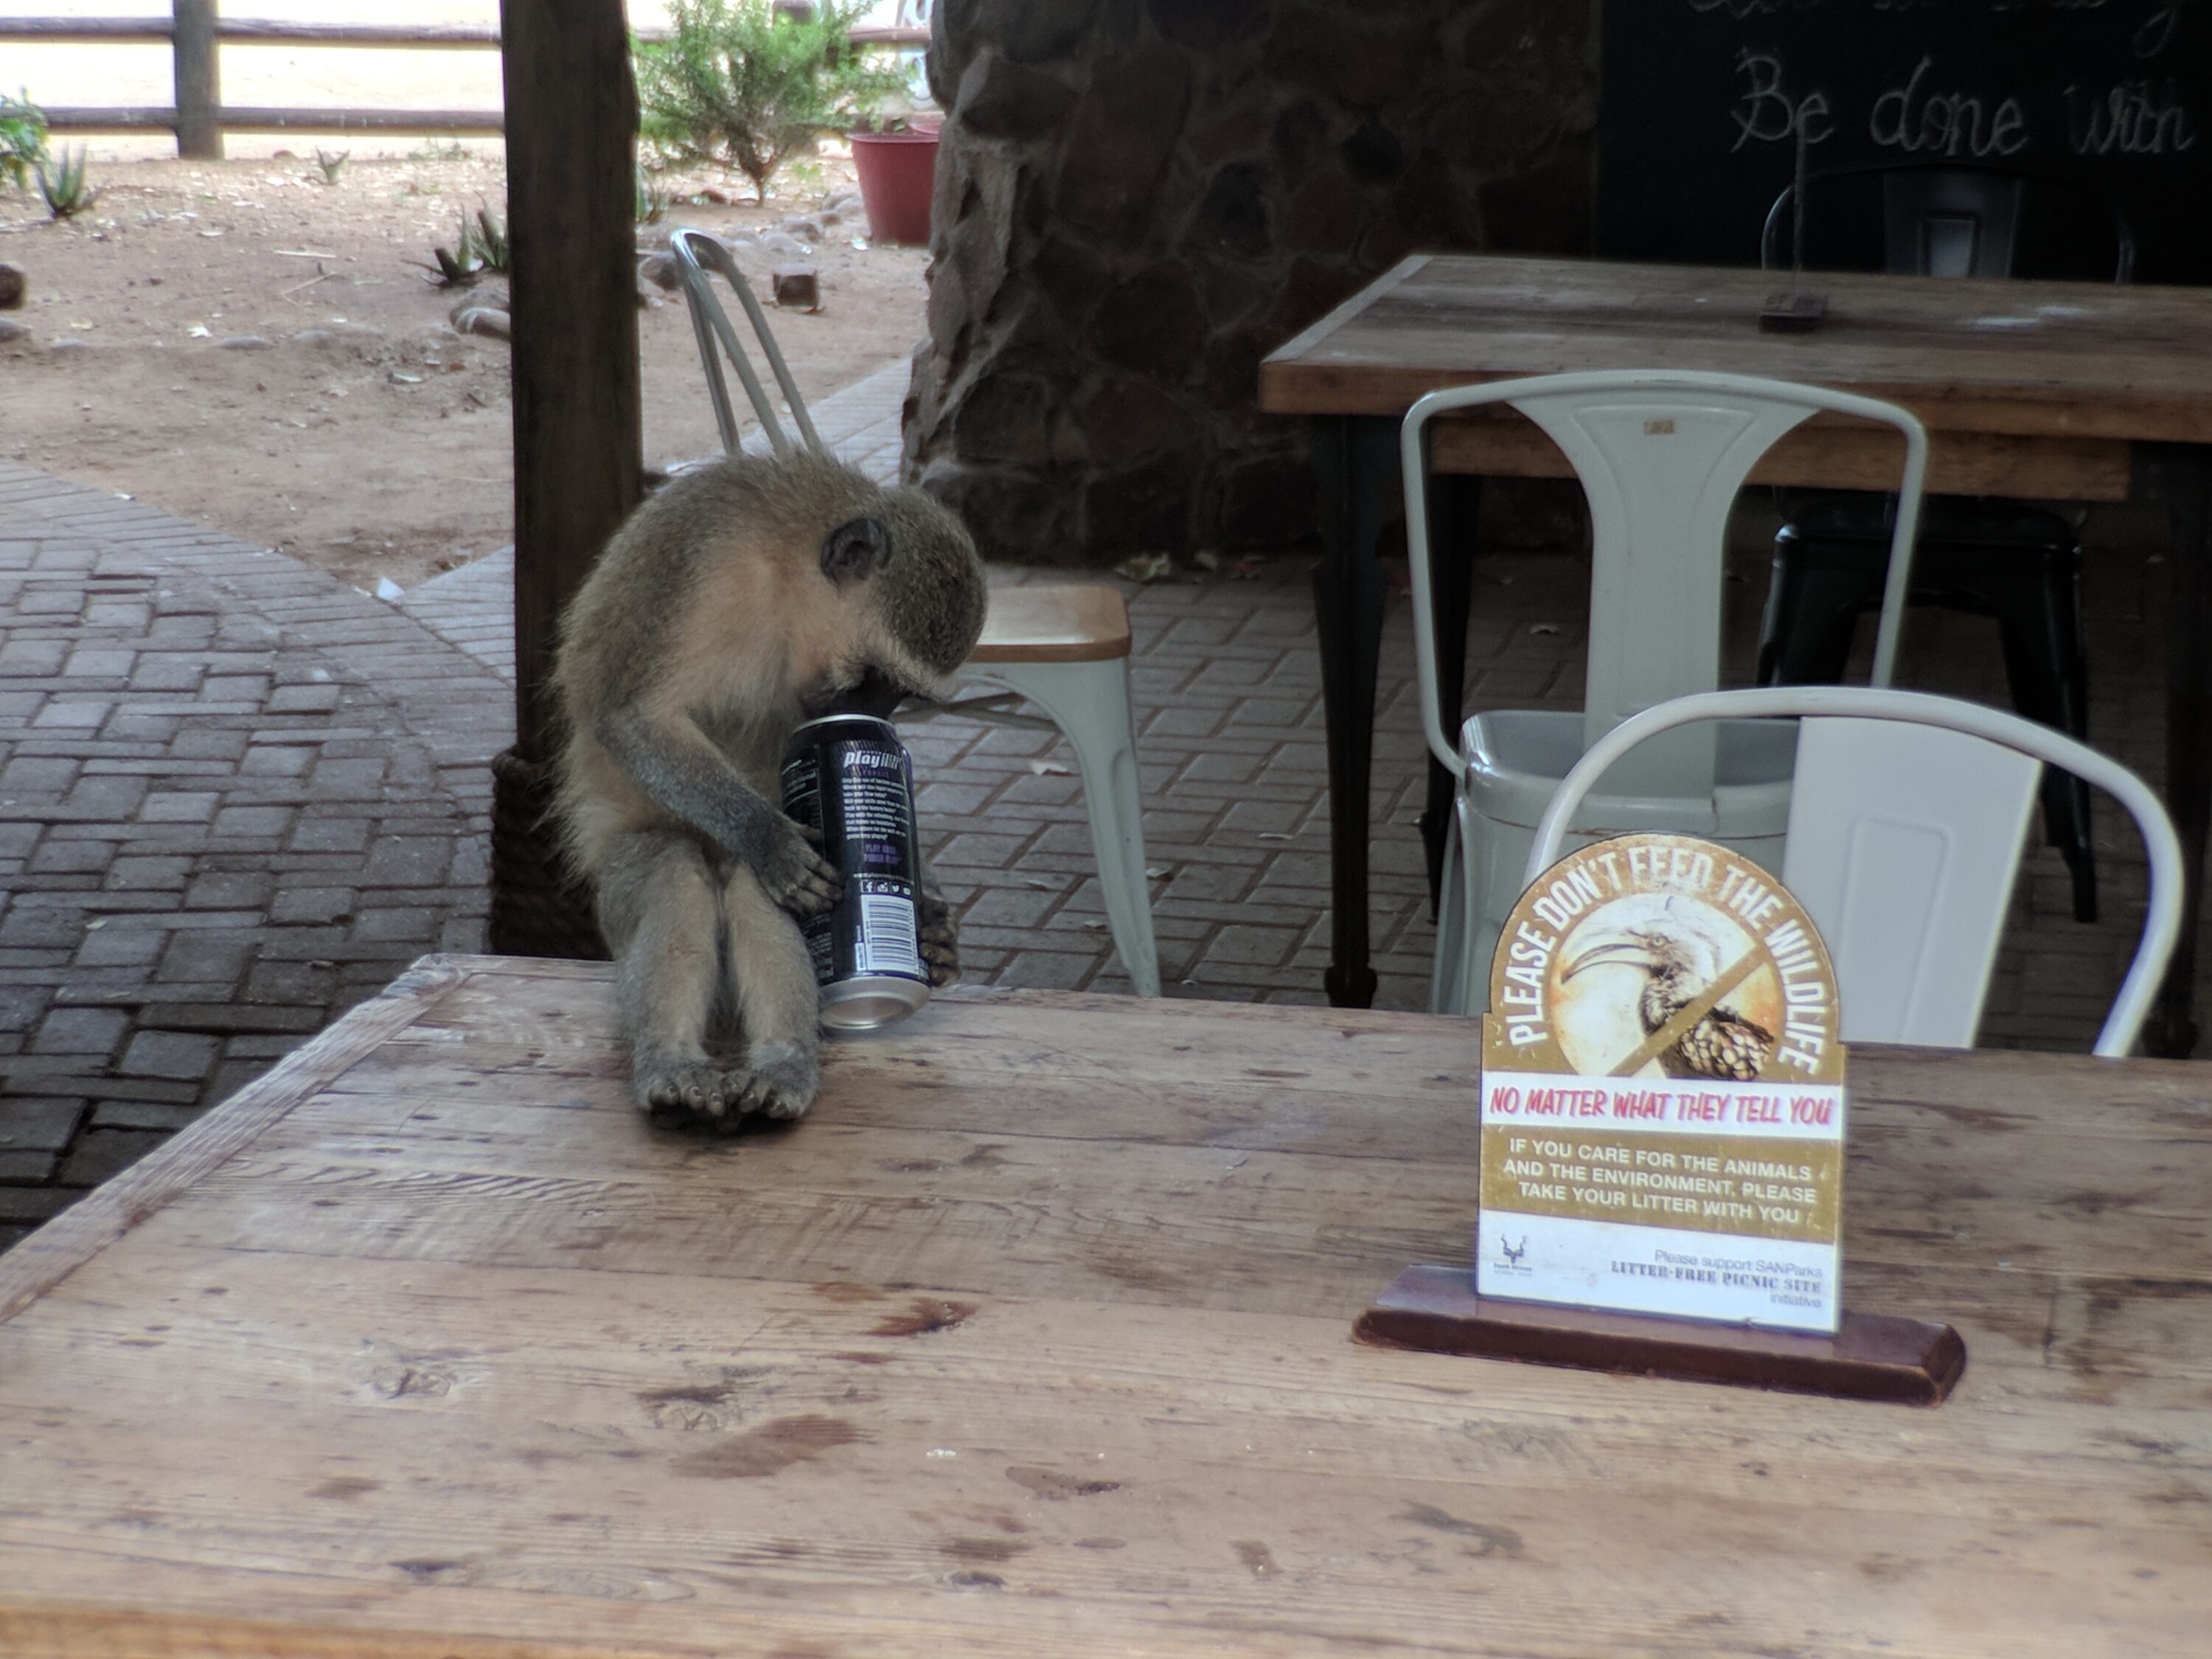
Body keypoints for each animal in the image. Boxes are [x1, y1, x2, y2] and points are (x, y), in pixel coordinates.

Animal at [552, 450, 988, 1128]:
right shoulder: (701, 555)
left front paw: (933, 924)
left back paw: (784, 1063)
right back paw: (672, 1063)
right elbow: (632, 719)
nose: (874, 716)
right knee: (673, 872)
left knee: (750, 887)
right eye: (875, 677)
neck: (783, 570)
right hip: (617, 895)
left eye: (901, 693)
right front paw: (769, 839)